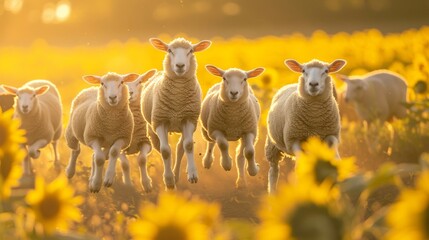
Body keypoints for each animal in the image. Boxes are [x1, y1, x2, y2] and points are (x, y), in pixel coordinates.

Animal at [140, 37, 211, 189]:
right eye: (169, 50)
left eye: (191, 51)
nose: (180, 65)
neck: (177, 99)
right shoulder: (160, 122)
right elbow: (165, 151)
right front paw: (168, 180)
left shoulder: (189, 119)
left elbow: (188, 145)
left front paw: (192, 174)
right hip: (152, 128)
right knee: (161, 147)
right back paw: (172, 176)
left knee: (180, 148)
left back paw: (177, 175)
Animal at [266, 58, 346, 193]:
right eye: (303, 71)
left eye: (326, 71)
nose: (313, 84)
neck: (314, 117)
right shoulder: (294, 140)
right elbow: (300, 166)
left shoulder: (332, 135)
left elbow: (334, 156)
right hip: (272, 145)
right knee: (273, 170)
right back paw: (272, 193)